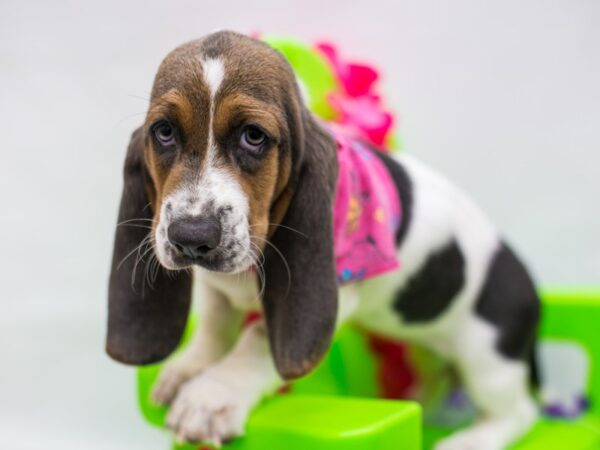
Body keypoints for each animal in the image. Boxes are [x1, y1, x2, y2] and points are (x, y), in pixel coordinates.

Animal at [106, 31, 540, 450]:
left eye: (253, 136)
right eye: (164, 132)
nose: (192, 238)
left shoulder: (332, 296)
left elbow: (258, 338)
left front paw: (210, 398)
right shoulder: (216, 285)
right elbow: (215, 320)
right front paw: (192, 366)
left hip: (488, 361)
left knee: (520, 413)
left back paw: (469, 440)